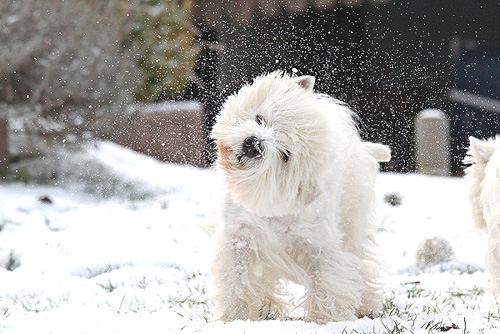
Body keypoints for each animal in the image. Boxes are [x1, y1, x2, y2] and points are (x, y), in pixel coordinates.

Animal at [210, 71, 390, 324]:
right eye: (260, 119)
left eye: (285, 155)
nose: (253, 143)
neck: (272, 207)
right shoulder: (239, 236)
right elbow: (237, 282)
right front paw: (235, 318)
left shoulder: (320, 246)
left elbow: (329, 284)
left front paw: (325, 322)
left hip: (352, 222)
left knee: (360, 260)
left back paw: (366, 305)